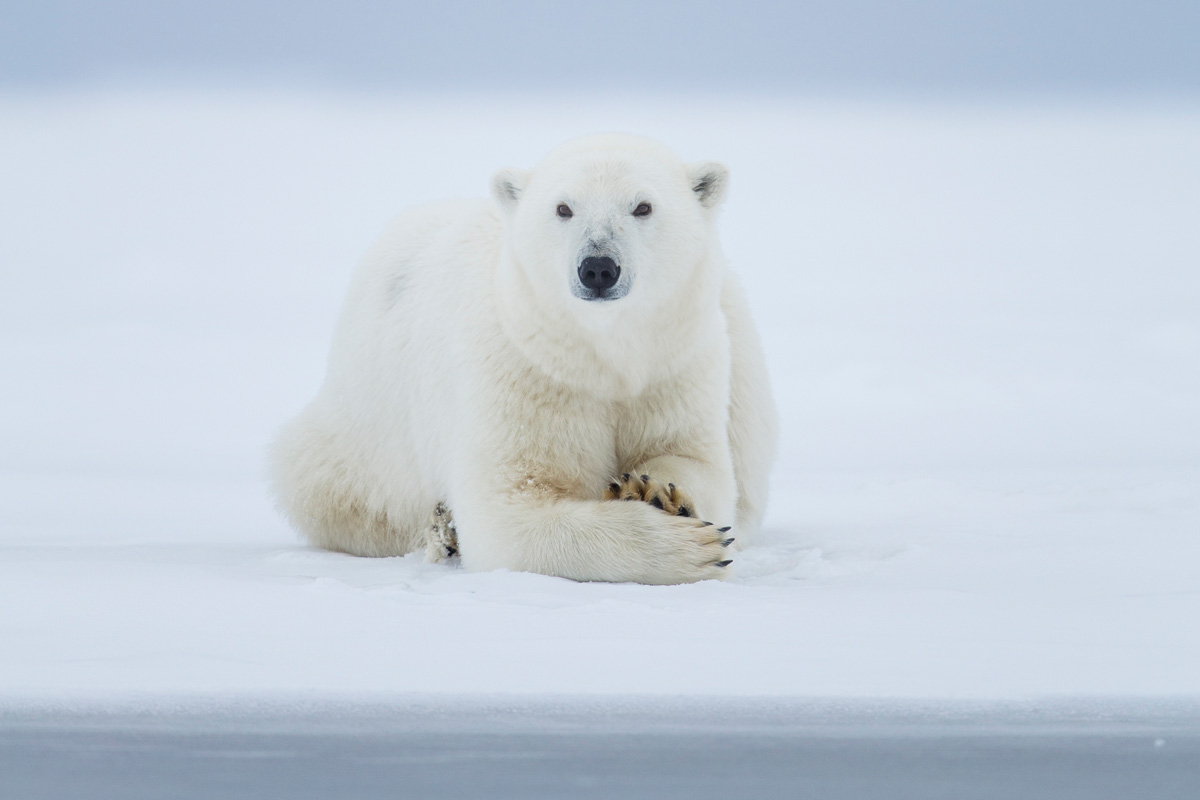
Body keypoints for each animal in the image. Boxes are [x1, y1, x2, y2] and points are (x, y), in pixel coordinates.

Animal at [270, 134, 777, 585]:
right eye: (563, 208)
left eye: (643, 206)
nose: (598, 267)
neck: (599, 352)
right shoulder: (523, 371)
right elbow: (510, 507)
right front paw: (685, 548)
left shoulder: (675, 363)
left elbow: (696, 459)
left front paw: (654, 490)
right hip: (364, 432)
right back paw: (443, 530)